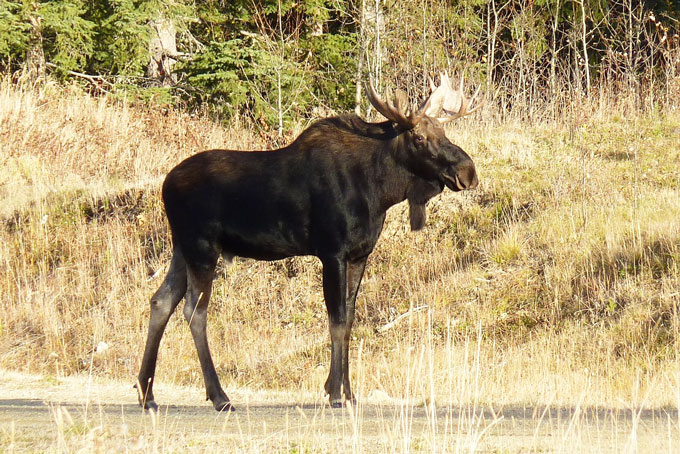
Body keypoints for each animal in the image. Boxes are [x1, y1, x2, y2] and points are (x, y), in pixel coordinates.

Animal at [135, 75, 480, 412]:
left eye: (444, 131)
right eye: (419, 138)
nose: (468, 171)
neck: (379, 191)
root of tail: (165, 184)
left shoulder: (360, 255)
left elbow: (350, 320)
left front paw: (349, 393)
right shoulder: (332, 252)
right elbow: (337, 321)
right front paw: (335, 393)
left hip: (181, 248)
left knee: (161, 301)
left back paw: (147, 394)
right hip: (202, 247)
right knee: (194, 310)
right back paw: (219, 396)